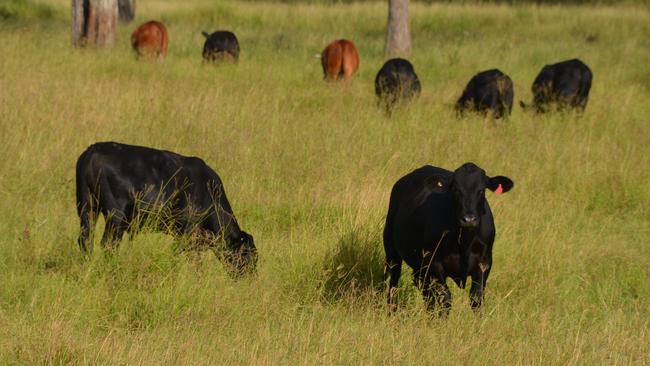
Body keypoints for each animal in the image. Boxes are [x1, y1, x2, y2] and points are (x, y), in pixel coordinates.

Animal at [76, 142, 256, 276]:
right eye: (249, 256)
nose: (250, 278)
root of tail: (94, 149)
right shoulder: (188, 234)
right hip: (116, 216)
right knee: (108, 244)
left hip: (87, 208)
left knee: (86, 240)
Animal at [380, 163, 512, 314]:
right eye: (456, 190)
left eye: (481, 190)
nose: (469, 219)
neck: (465, 242)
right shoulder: (434, 262)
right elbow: (445, 297)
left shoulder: (484, 262)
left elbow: (476, 298)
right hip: (391, 250)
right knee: (392, 281)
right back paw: (391, 312)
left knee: (425, 292)